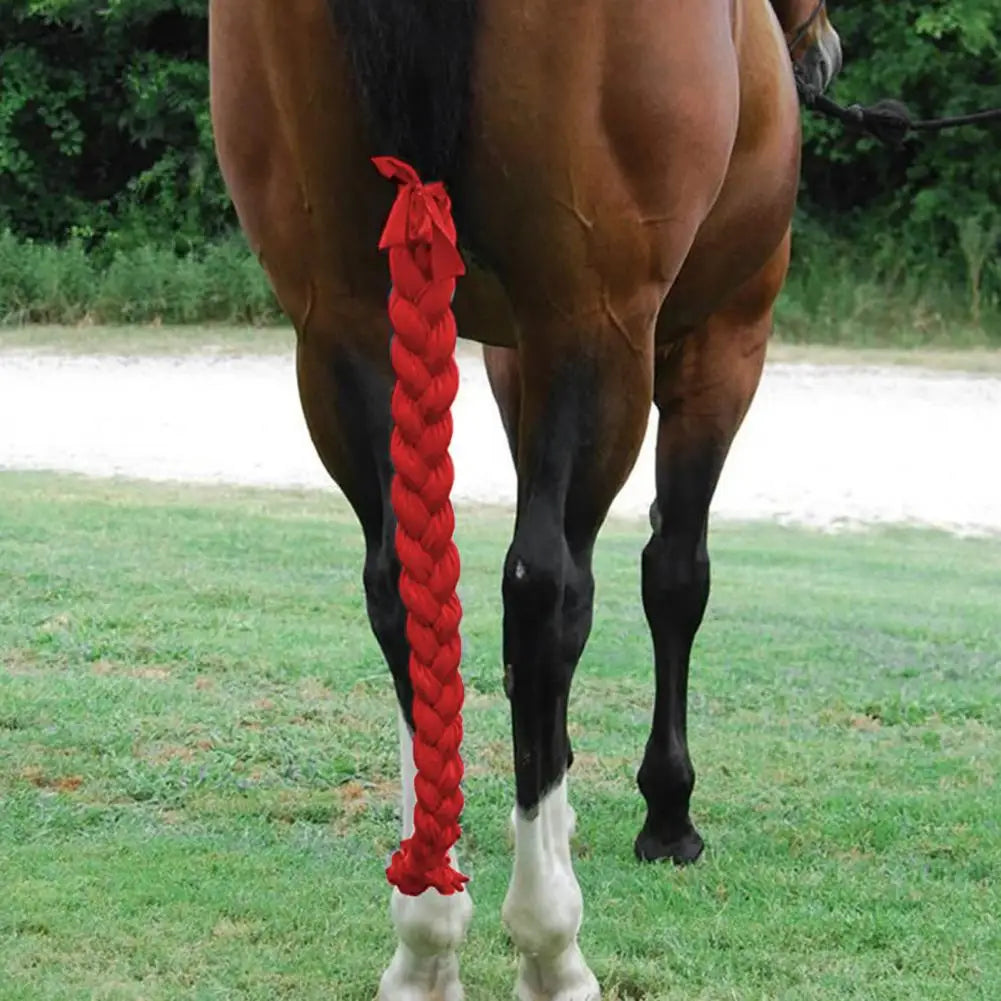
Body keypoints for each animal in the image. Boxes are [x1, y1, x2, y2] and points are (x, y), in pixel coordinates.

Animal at [211, 0, 844, 996]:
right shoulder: (724, 338)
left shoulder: (507, 354)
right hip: (596, 320)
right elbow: (674, 575)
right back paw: (550, 939)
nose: (820, 56)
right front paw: (666, 811)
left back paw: (426, 933)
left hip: (341, 322)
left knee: (404, 590)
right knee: (547, 593)